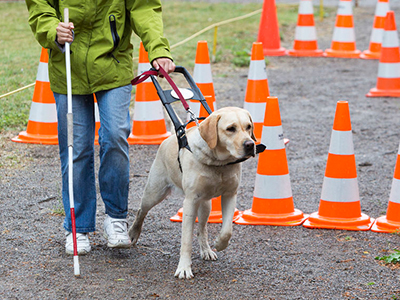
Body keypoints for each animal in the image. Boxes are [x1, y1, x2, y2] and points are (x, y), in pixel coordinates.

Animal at [128, 106, 256, 278]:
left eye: (248, 127)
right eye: (231, 129)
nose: (250, 144)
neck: (218, 163)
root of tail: (170, 138)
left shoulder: (230, 195)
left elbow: (227, 230)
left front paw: (219, 244)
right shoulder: (190, 202)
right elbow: (186, 240)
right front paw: (184, 268)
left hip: (206, 205)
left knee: (202, 229)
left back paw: (206, 249)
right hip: (154, 193)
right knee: (141, 211)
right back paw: (133, 233)